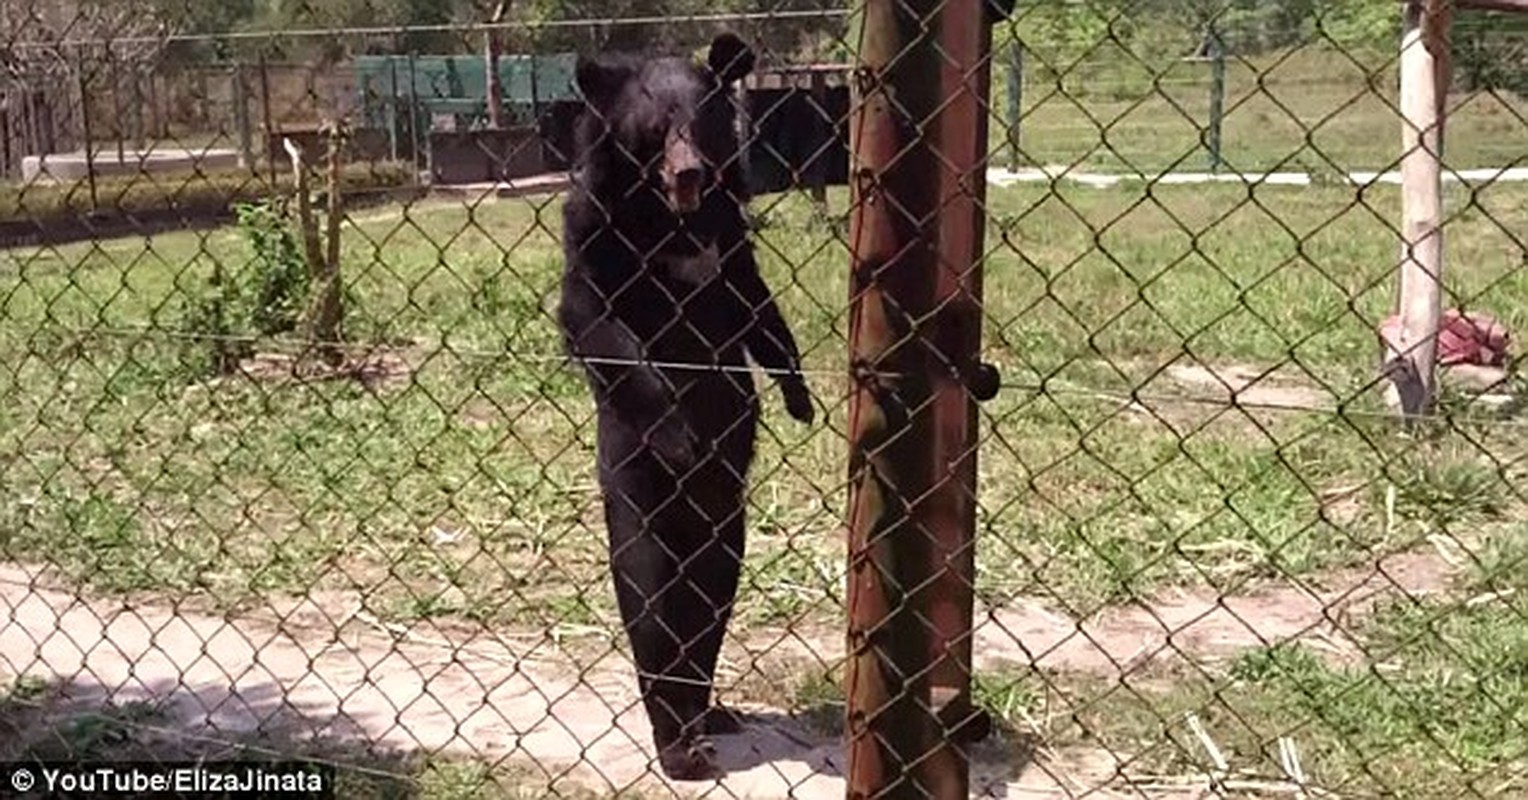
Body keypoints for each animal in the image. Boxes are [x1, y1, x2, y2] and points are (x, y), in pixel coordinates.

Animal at [559, 32, 819, 781]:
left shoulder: (728, 234)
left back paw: (712, 715)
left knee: (713, 591)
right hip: (631, 477)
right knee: (650, 597)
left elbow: (757, 304)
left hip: (726, 512)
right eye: (654, 131)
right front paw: (679, 434)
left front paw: (799, 398)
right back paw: (678, 745)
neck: (670, 224)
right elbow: (594, 319)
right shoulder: (591, 228)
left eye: (701, 126)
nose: (689, 174)